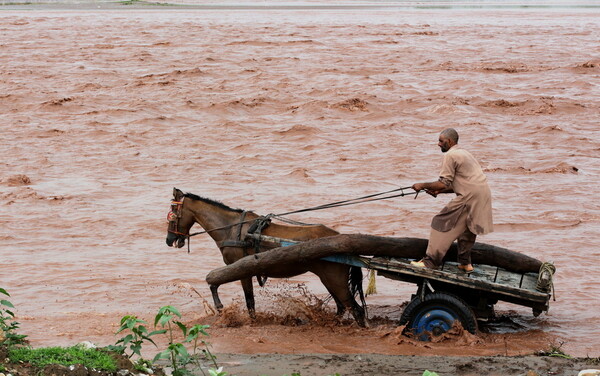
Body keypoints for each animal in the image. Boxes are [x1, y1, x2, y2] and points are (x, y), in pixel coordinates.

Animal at [166, 188, 368, 326]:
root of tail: (343, 240)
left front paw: (224, 309)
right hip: (329, 279)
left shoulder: (240, 270)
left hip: (334, 279)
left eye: (172, 216)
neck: (231, 229)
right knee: (342, 307)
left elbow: (244, 298)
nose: (169, 240)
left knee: (355, 309)